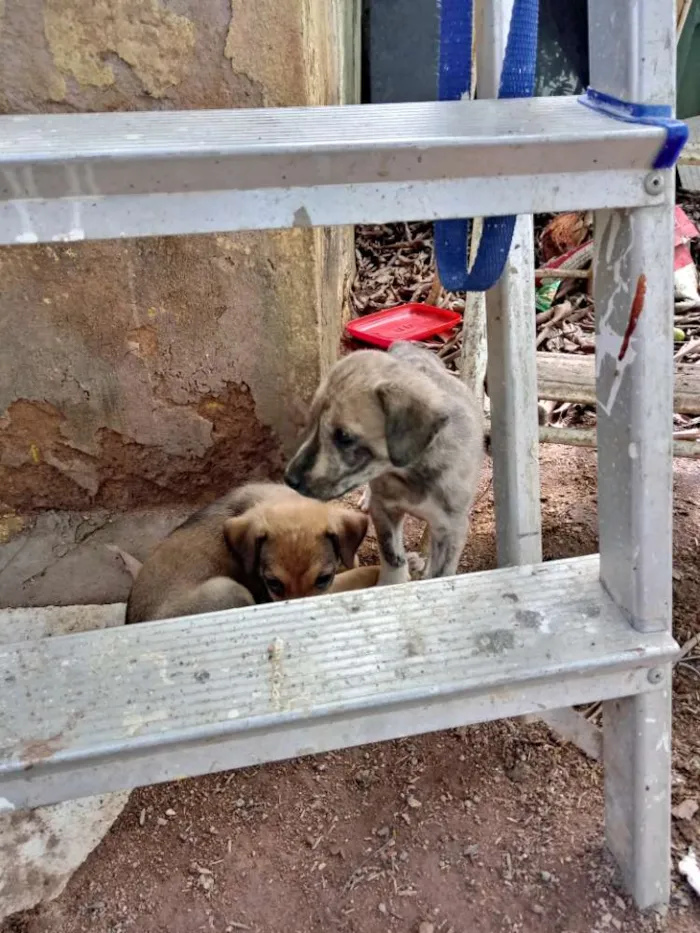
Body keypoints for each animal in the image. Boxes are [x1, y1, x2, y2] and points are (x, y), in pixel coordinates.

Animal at [282, 342, 484, 588]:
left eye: (344, 437)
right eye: (312, 423)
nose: (289, 478)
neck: (411, 474)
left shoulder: (452, 529)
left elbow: (439, 574)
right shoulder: (384, 508)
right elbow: (391, 553)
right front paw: (390, 583)